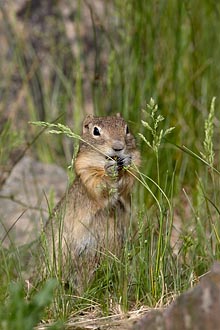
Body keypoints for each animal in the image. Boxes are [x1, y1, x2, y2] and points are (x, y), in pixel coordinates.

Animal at [36, 114, 139, 292]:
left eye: (127, 128)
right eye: (95, 131)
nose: (118, 147)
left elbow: (128, 180)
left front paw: (126, 161)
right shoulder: (87, 172)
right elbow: (100, 186)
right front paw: (109, 169)